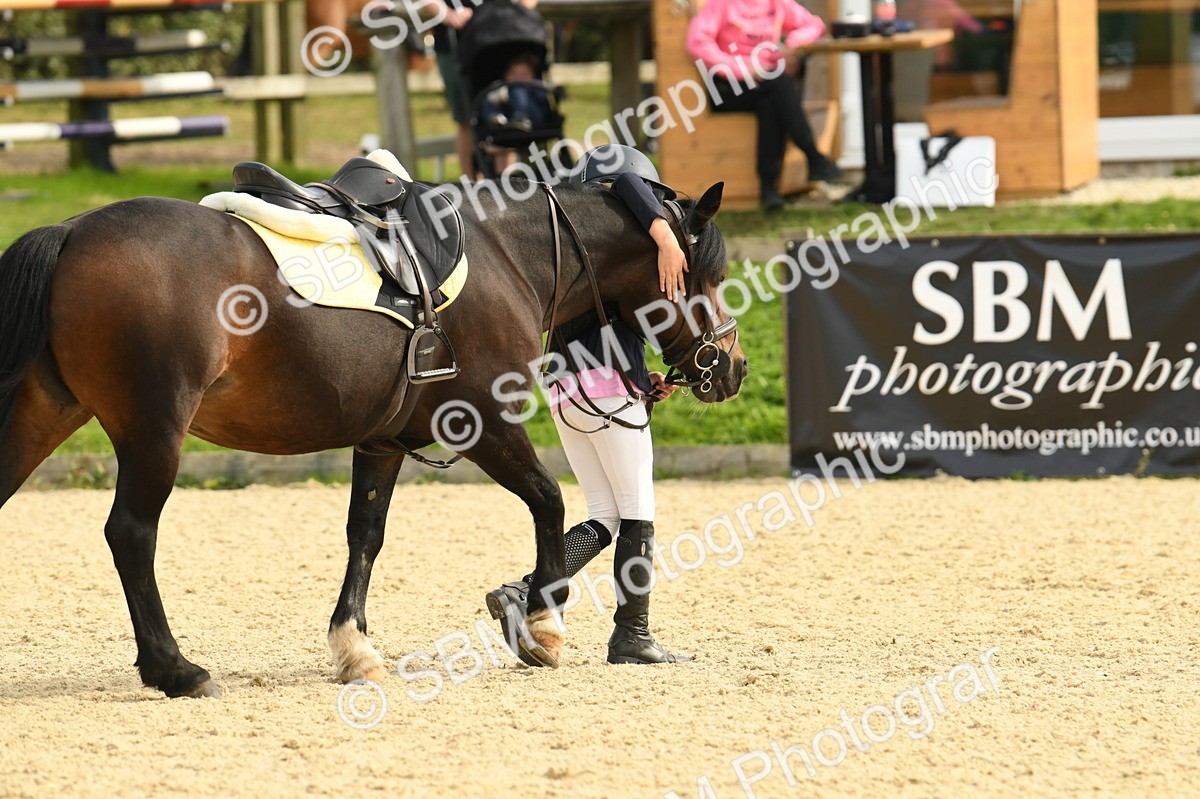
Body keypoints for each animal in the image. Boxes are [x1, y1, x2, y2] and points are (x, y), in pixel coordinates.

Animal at [0, 178, 747, 698]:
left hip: (46, 413)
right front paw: (541, 627)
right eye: (709, 277)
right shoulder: (485, 424)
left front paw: (354, 648)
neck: (511, 257)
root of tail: (72, 231)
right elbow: (548, 501)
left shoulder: (383, 442)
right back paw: (176, 668)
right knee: (132, 534)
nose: (732, 367)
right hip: (155, 431)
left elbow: (366, 536)